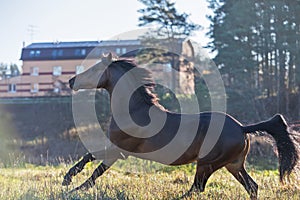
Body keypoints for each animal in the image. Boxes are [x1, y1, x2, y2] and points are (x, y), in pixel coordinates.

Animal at [62, 52, 298, 198]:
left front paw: (71, 187)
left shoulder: (120, 151)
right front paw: (67, 182)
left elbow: (95, 171)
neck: (133, 111)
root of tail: (242, 128)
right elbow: (89, 159)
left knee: (196, 189)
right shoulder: (115, 148)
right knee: (252, 186)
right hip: (233, 164)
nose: (71, 81)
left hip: (207, 163)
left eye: (94, 70)